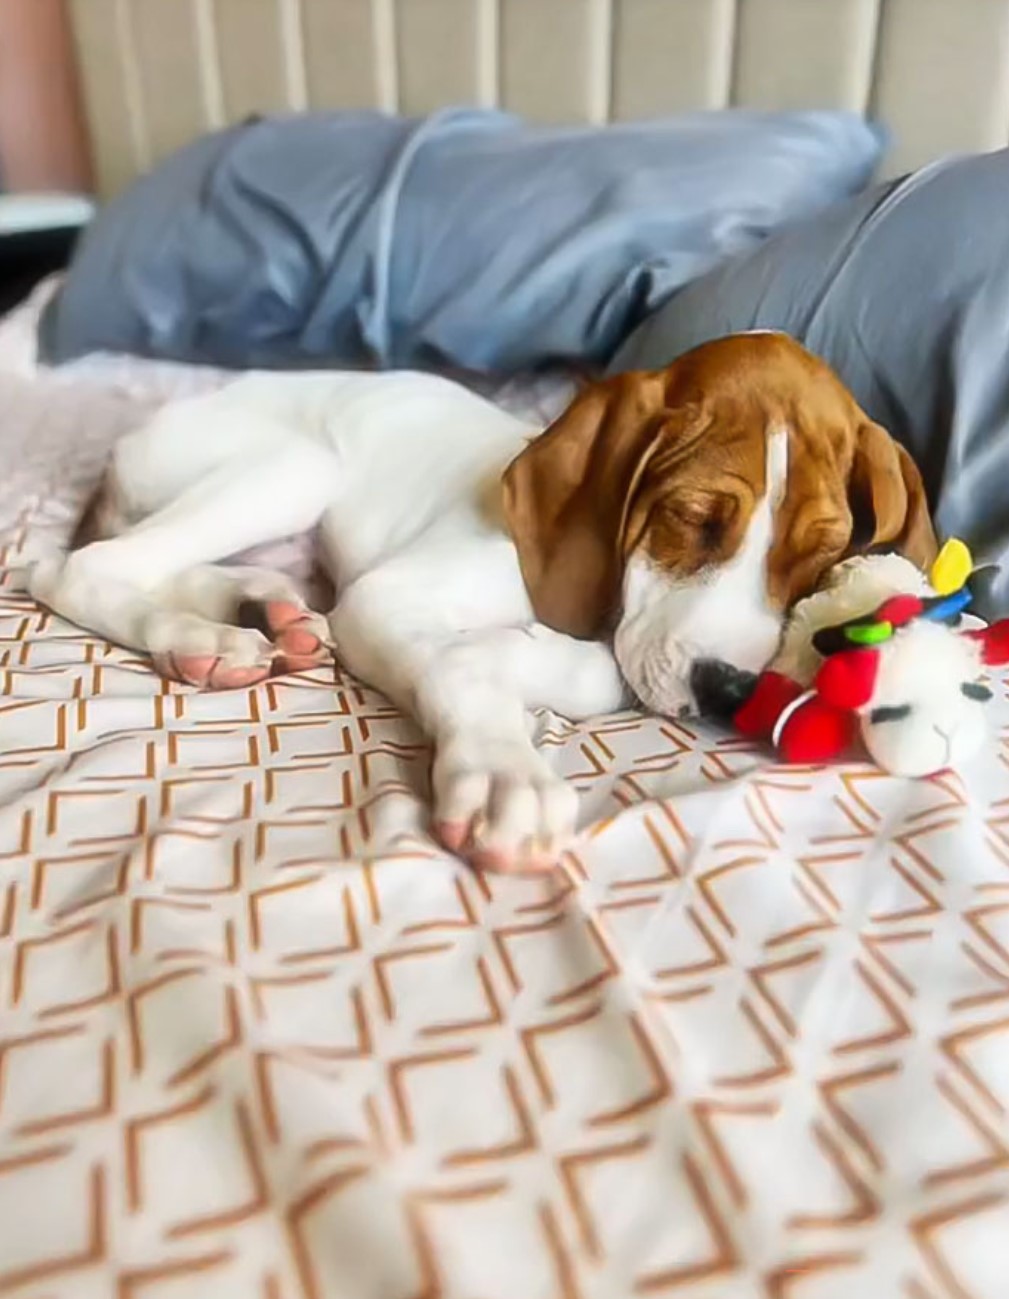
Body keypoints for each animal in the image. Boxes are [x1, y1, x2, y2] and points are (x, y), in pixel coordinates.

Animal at [29, 332, 929, 872]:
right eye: (694, 518)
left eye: (819, 560)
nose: (729, 691)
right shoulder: (383, 598)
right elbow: (499, 667)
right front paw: (505, 767)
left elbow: (592, 664)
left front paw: (529, 652)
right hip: (296, 464)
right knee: (75, 567)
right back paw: (197, 637)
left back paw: (258, 613)